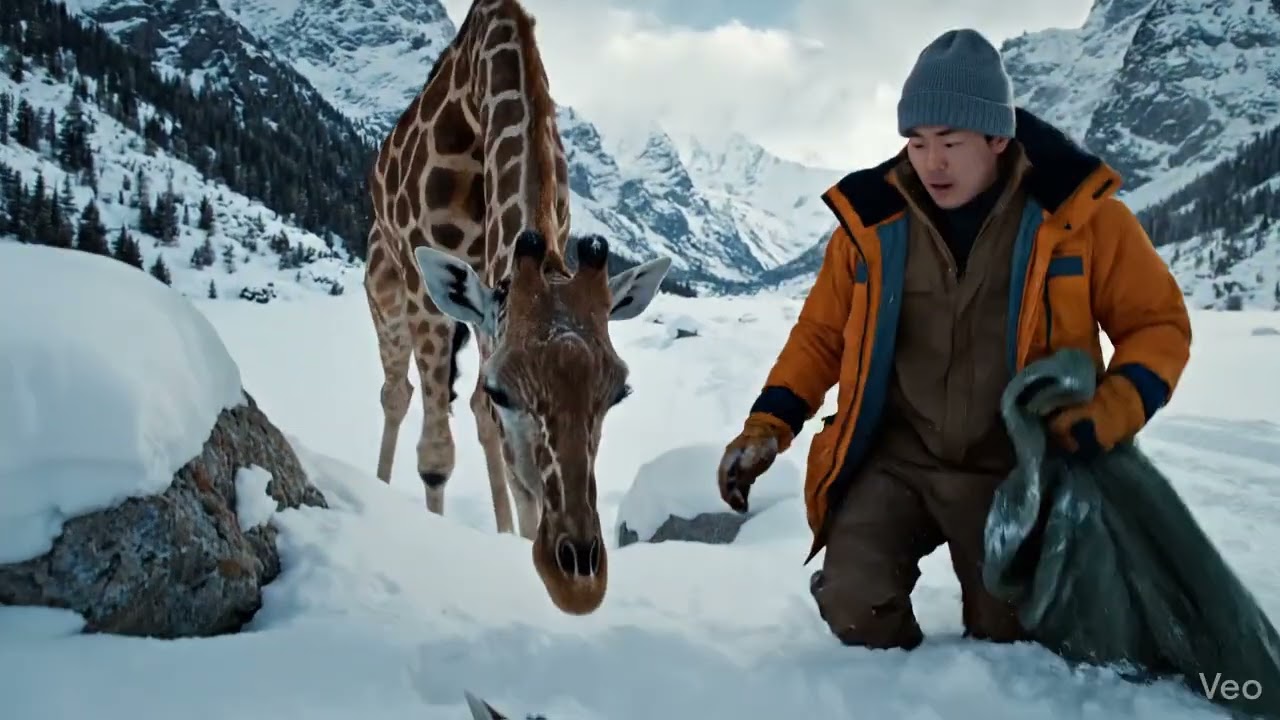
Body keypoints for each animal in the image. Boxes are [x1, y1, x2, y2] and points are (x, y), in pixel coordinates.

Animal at [363, 0, 673, 616]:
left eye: (619, 392)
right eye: (507, 389)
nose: (578, 578)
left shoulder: (493, 300)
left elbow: (503, 452)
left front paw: (517, 539)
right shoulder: (431, 297)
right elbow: (438, 456)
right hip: (386, 293)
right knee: (396, 394)